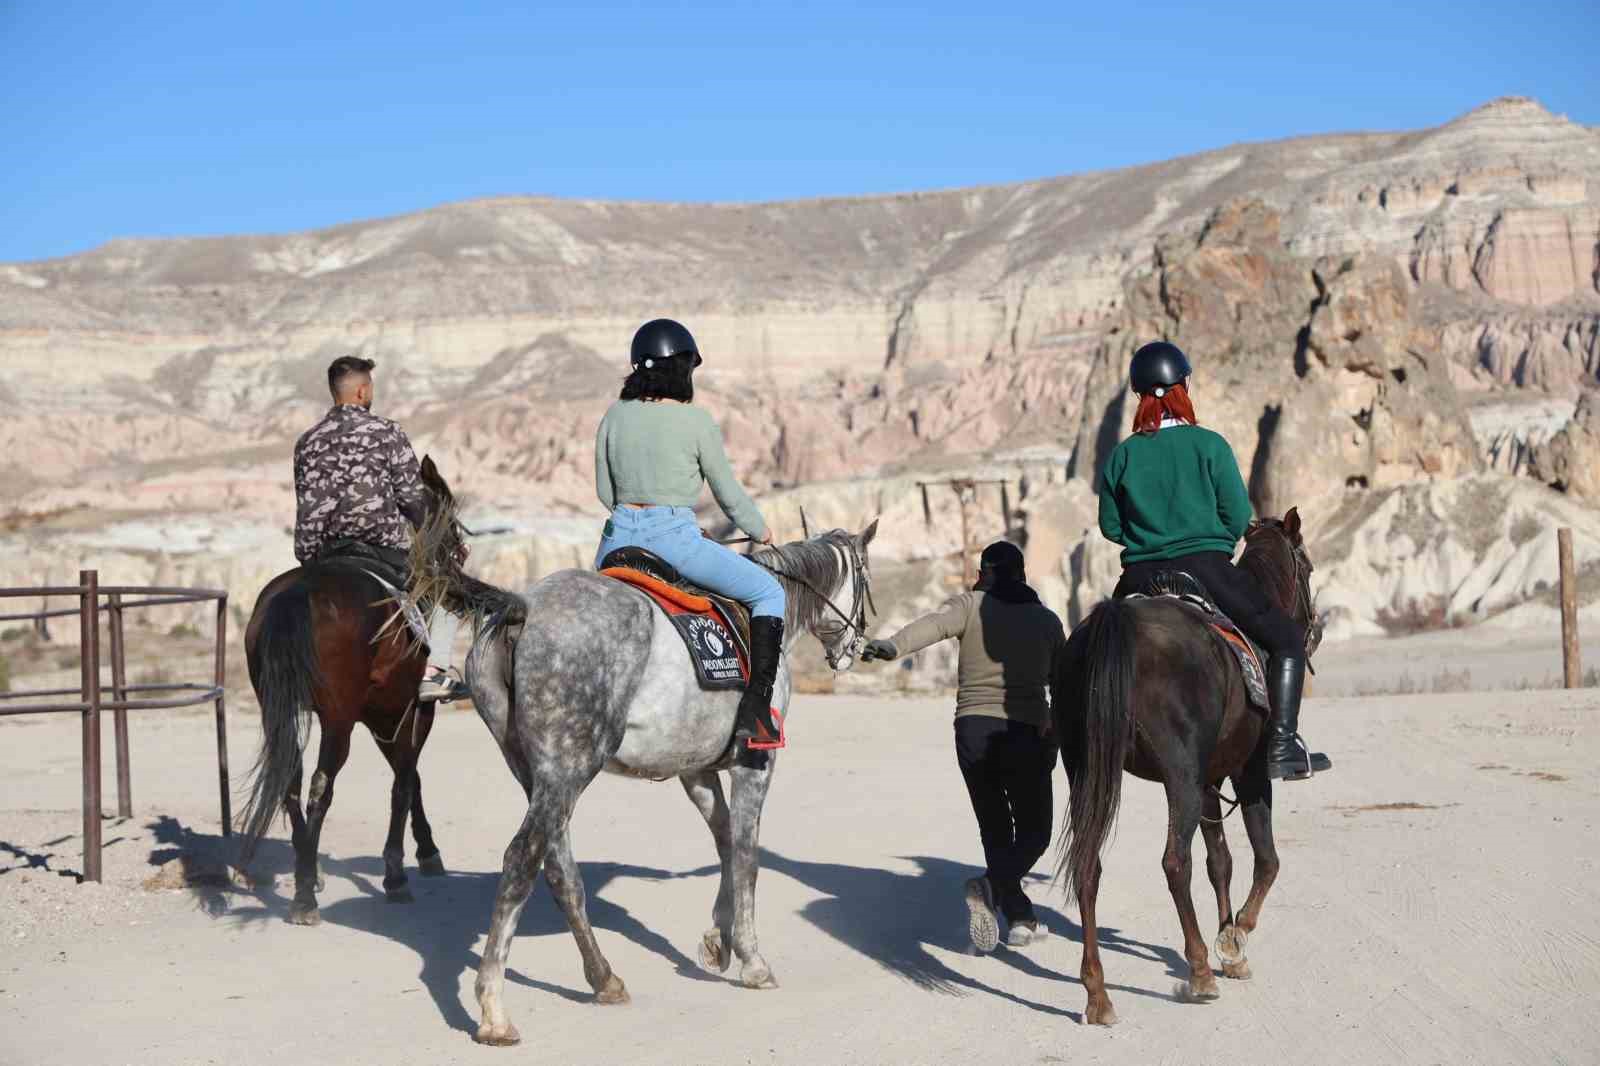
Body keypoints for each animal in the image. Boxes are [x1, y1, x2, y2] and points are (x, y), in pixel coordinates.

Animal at [236, 454, 467, 921]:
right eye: (451, 523)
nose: (461, 561)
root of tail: (299, 593)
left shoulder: (379, 718)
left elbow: (409, 778)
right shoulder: (408, 713)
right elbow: (404, 783)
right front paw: (400, 871)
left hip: (280, 711)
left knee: (290, 780)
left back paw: (308, 870)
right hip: (338, 719)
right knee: (320, 786)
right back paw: (304, 896)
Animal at [457, 518, 876, 1043]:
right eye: (867, 582)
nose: (857, 648)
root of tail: (526, 608)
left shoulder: (695, 771)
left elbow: (725, 845)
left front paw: (718, 941)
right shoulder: (755, 765)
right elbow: (747, 856)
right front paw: (751, 959)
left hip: (539, 776)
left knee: (559, 870)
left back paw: (604, 979)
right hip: (567, 771)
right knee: (521, 862)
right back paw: (493, 1009)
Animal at [1049, 505, 1324, 1024]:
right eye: (1309, 568)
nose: (1313, 631)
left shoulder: (1208, 780)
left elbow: (1222, 861)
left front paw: (1231, 948)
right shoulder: (1247, 775)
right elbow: (1266, 860)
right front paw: (1235, 938)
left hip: (1089, 773)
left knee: (1089, 866)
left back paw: (1098, 994)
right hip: (1179, 776)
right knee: (1175, 862)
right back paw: (1198, 972)